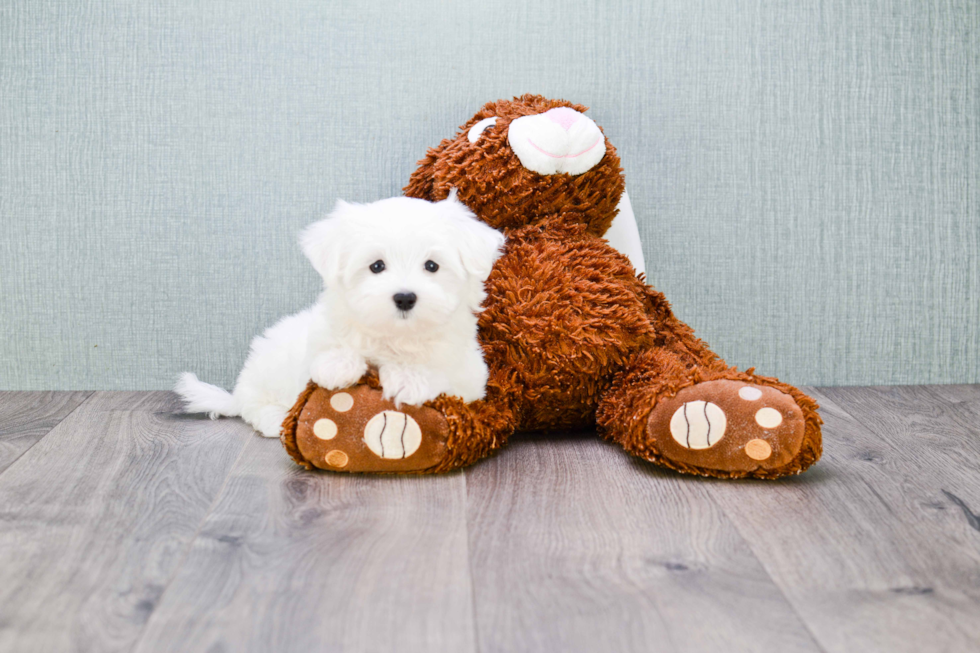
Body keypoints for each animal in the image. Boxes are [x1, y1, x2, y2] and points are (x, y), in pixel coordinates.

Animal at [173, 194, 506, 438]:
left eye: (432, 266)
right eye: (376, 266)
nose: (405, 297)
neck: (393, 336)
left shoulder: (469, 378)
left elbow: (439, 371)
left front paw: (409, 379)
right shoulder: (318, 339)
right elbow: (329, 347)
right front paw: (338, 366)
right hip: (269, 365)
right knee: (252, 405)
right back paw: (275, 417)